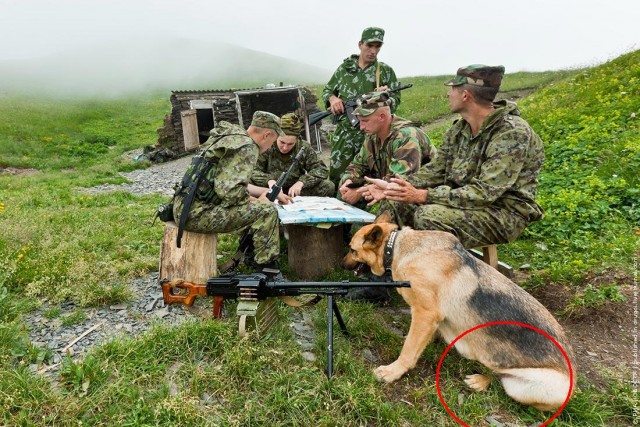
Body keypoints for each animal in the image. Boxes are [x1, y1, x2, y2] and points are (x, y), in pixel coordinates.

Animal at [342, 214, 576, 412]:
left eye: (352, 250)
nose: (342, 265)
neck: (397, 248)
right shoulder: (430, 319)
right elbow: (418, 340)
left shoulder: (425, 314)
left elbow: (409, 350)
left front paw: (393, 371)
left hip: (526, 387)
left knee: (505, 384)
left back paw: (481, 381)